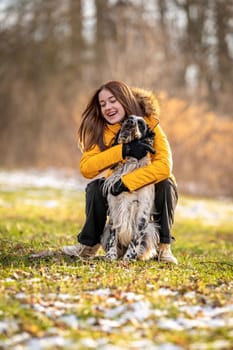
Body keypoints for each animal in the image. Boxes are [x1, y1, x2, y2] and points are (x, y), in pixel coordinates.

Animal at [101, 115, 159, 260]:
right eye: (128, 117)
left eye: (141, 123)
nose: (130, 121)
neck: (130, 163)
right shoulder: (115, 207)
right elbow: (113, 235)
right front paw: (111, 255)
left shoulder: (141, 211)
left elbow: (135, 238)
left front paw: (129, 257)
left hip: (151, 229)